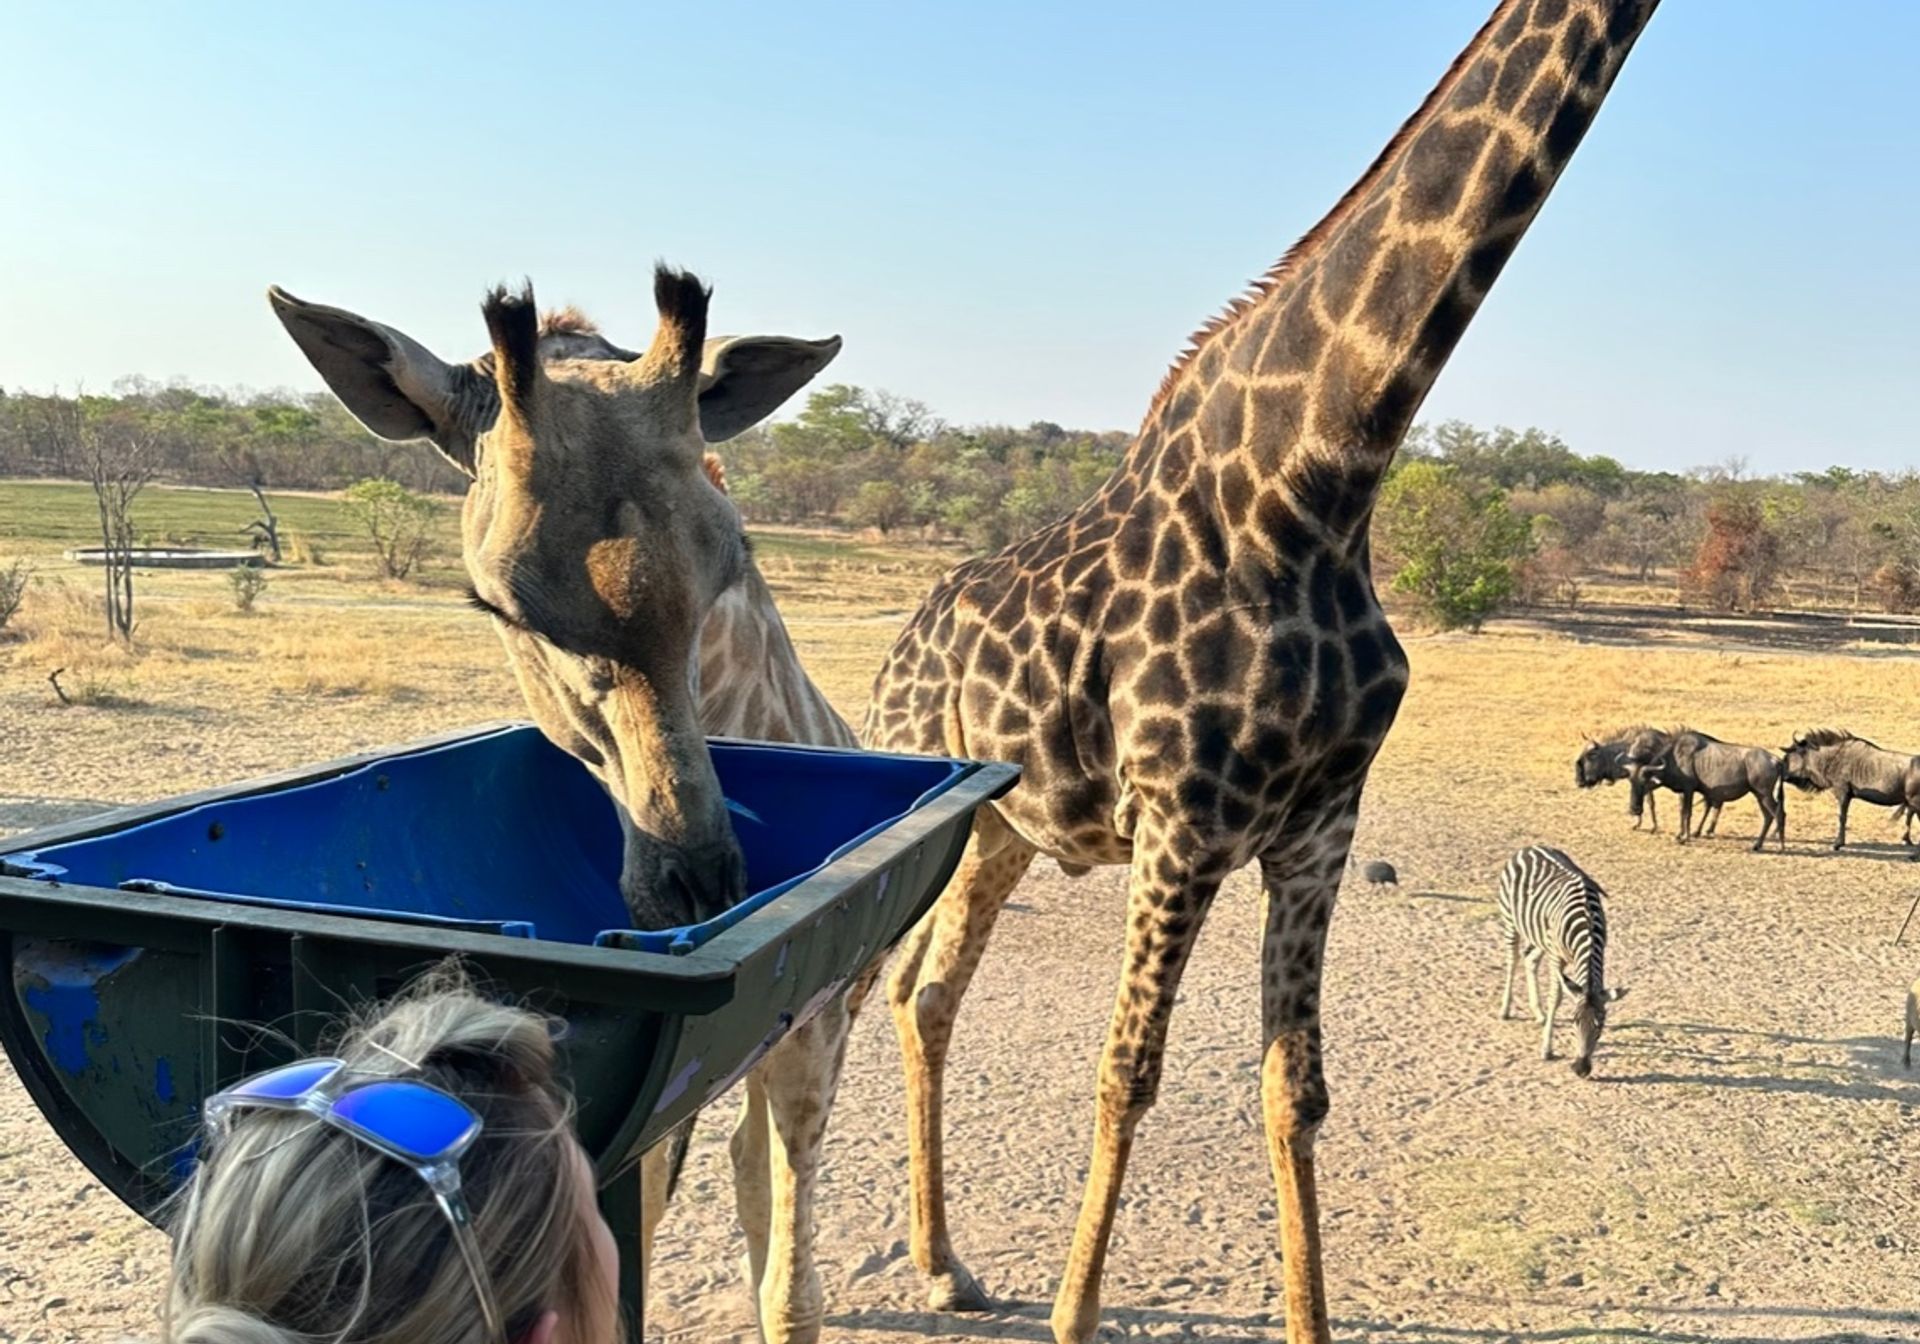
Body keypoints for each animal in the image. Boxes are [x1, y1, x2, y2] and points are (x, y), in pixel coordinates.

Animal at [860, 3, 1661, 1341]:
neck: (1322, 480)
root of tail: (896, 655)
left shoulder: (1319, 831)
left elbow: (1299, 1092)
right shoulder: (1182, 826)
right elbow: (1127, 1074)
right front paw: (1074, 1315)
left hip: (1004, 833)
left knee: (927, 994)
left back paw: (941, 1261)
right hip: (926, 815)